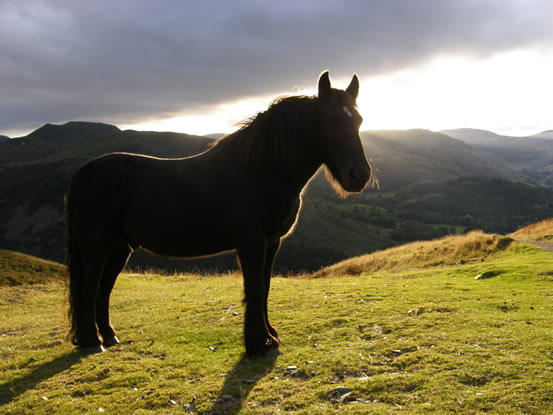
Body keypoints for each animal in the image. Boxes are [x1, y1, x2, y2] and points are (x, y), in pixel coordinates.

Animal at [64, 71, 368, 358]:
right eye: (329, 121)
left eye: (359, 121)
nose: (360, 175)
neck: (263, 172)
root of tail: (80, 176)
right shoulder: (252, 243)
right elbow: (254, 289)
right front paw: (260, 344)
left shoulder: (272, 243)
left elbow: (266, 287)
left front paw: (270, 336)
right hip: (95, 248)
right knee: (89, 289)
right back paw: (92, 342)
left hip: (119, 248)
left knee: (103, 290)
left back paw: (109, 336)